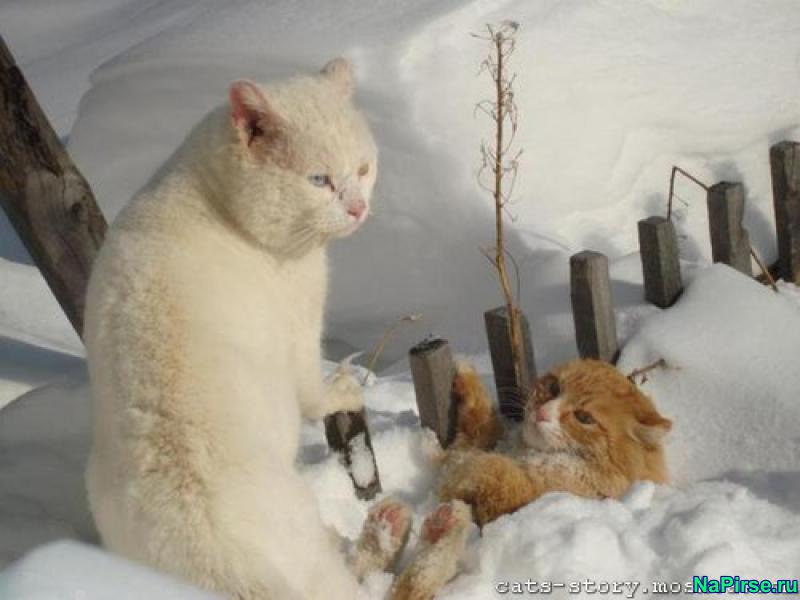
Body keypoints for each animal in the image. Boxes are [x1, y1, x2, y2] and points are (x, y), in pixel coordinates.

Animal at [83, 58, 400, 596]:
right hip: (308, 546)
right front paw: (342, 389)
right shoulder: (301, 321)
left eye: (362, 168)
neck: (212, 194)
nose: (358, 208)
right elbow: (311, 391)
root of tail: (207, 552)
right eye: (319, 180)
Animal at [434, 360, 672, 524]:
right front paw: (465, 373)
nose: (542, 413)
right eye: (554, 388)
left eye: (584, 417)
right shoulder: (474, 443)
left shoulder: (509, 504)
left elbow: (493, 468)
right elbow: (478, 423)